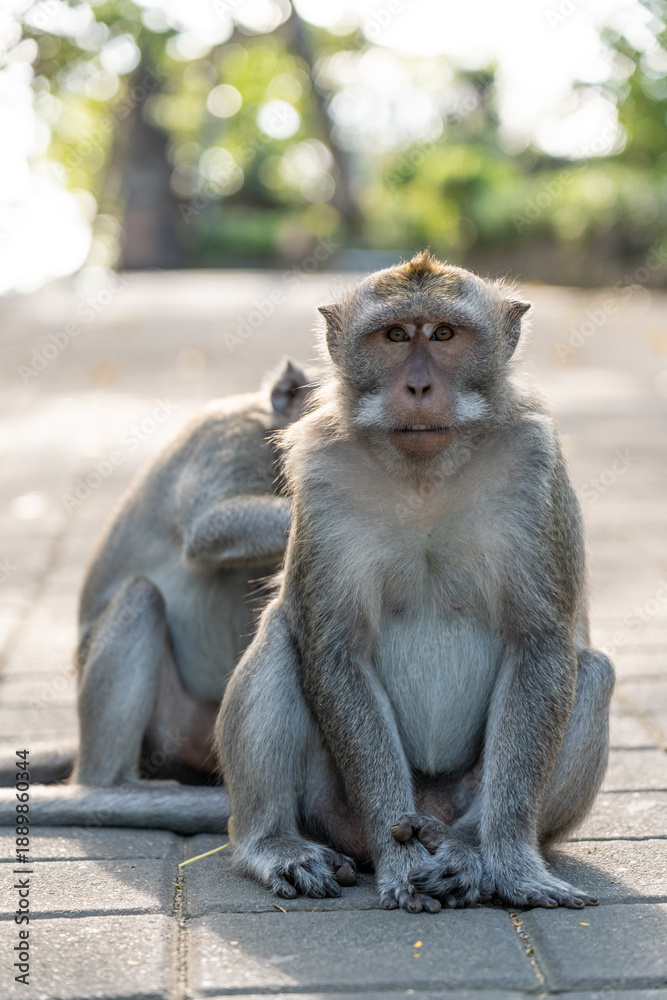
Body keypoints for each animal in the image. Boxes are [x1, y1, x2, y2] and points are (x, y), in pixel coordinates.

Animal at [217, 250, 615, 912]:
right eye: (397, 335)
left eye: (445, 334)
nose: (420, 388)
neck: (425, 476)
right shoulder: (323, 474)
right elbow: (336, 650)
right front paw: (400, 864)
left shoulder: (533, 465)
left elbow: (539, 644)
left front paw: (510, 864)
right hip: (332, 805)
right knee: (280, 640)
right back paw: (275, 843)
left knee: (592, 673)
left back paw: (464, 848)